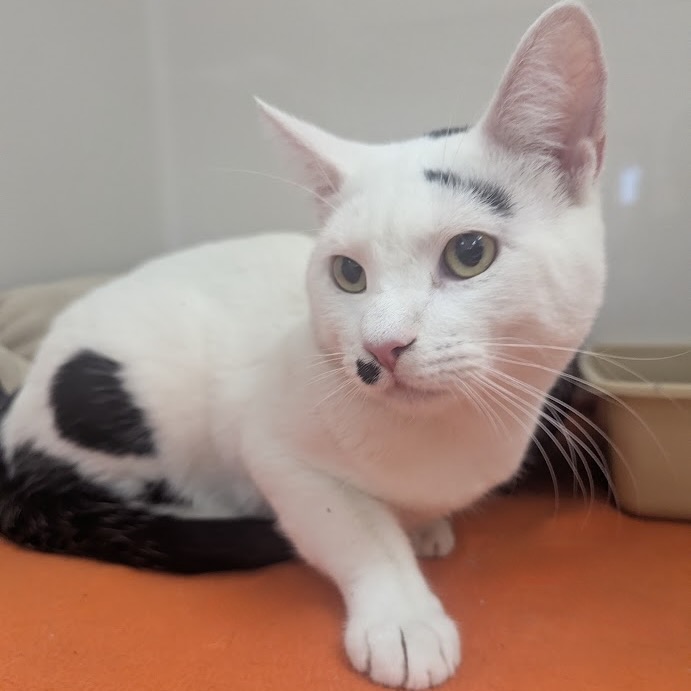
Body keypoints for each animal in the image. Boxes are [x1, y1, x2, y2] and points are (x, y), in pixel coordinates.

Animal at [0, 2, 607, 688]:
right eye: (348, 273)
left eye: (469, 253)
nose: (382, 347)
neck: (444, 443)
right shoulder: (277, 454)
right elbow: (359, 533)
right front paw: (403, 618)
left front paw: (425, 529)